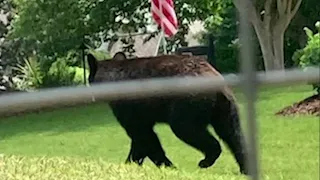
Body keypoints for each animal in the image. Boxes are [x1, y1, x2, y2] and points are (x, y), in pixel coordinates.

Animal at [87, 52, 250, 174]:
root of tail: (217, 84)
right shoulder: (142, 115)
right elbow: (141, 140)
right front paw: (130, 164)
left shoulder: (129, 110)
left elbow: (144, 136)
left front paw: (169, 167)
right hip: (225, 109)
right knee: (234, 135)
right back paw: (245, 168)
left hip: (188, 103)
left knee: (186, 129)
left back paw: (205, 161)